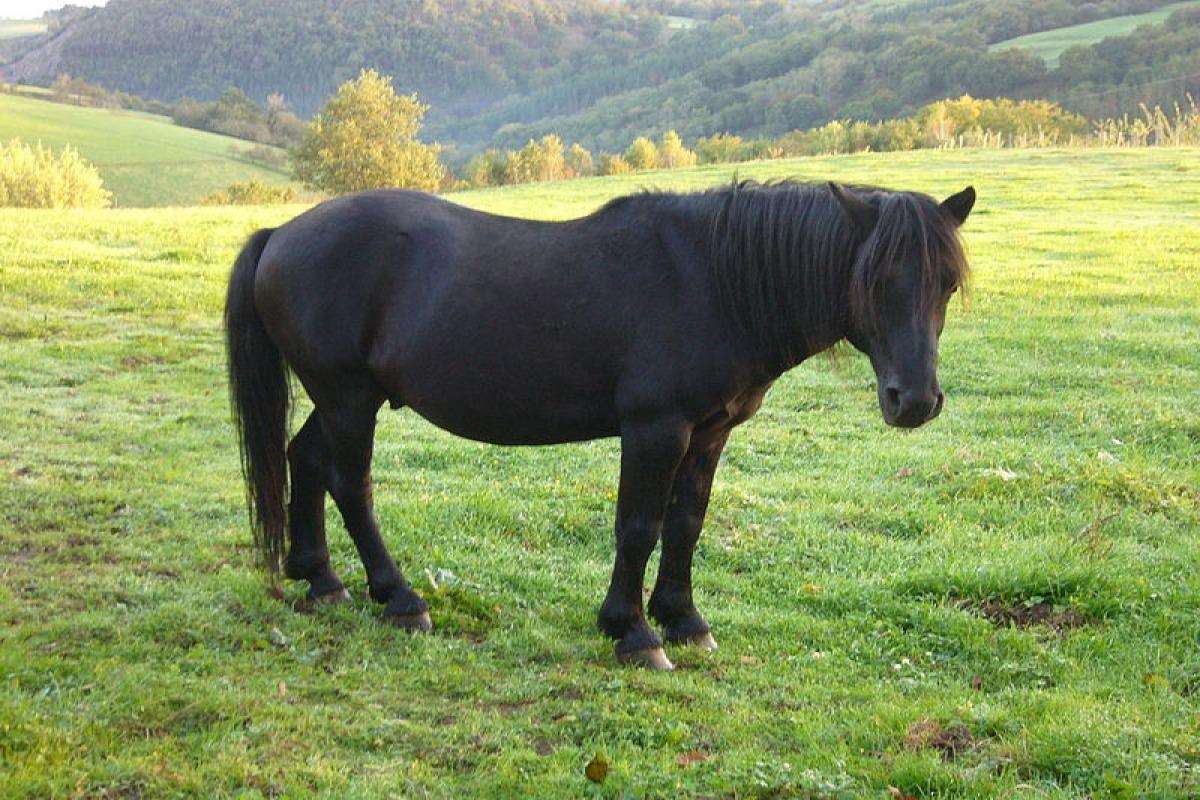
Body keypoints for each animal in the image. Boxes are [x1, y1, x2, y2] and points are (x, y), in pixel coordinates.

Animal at [225, 179, 974, 670]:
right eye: (873, 280)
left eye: (947, 284)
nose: (914, 401)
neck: (715, 279)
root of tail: (280, 234)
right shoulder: (655, 428)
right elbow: (638, 527)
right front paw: (634, 633)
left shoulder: (710, 431)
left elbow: (685, 523)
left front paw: (685, 620)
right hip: (349, 398)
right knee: (351, 486)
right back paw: (400, 598)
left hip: (343, 399)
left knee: (304, 461)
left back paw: (321, 579)